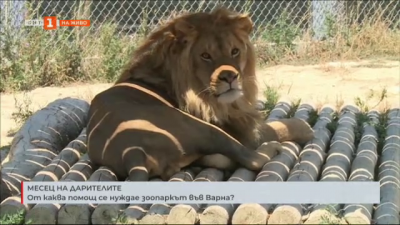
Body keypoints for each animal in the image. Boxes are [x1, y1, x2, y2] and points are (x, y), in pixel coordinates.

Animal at [86, 7, 314, 181]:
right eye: (205, 55)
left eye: (235, 51)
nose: (229, 76)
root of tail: (131, 153)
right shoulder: (241, 130)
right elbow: (275, 127)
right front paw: (304, 128)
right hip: (203, 129)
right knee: (252, 159)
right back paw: (271, 148)